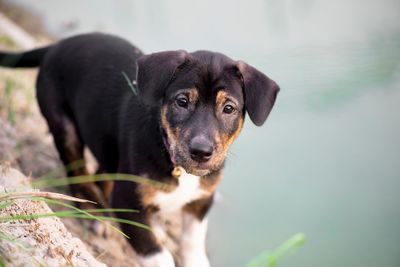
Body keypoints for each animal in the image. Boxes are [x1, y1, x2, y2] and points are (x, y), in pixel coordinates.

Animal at [0, 34, 280, 267]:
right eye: (182, 102)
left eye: (229, 108)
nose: (201, 152)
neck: (173, 162)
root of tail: (57, 45)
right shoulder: (128, 200)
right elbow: (157, 253)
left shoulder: (201, 200)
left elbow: (192, 244)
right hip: (63, 124)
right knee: (77, 173)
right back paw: (93, 214)